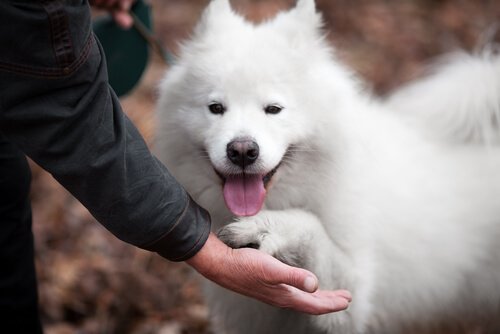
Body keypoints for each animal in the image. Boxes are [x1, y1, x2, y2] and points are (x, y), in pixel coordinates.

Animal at [154, 0, 498, 332]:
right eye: (215, 108)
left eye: (273, 109)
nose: (242, 151)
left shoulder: (351, 300)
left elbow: (311, 228)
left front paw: (270, 227)